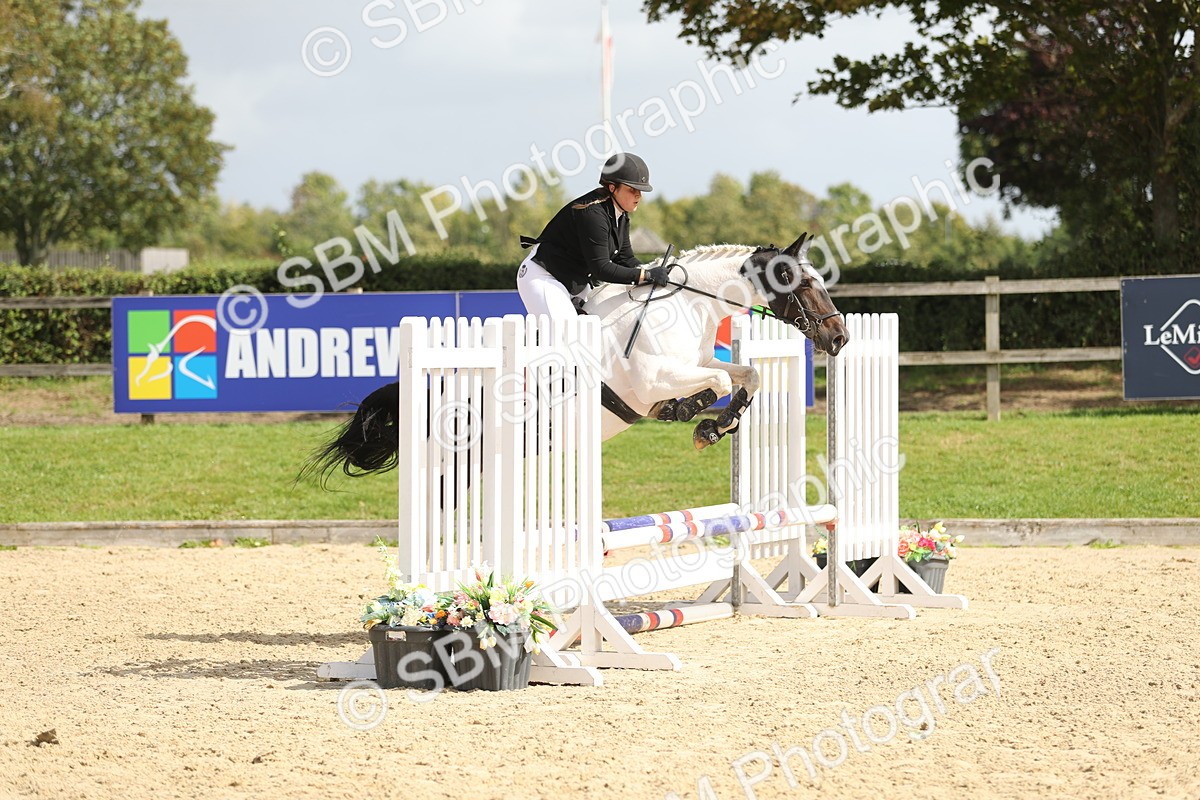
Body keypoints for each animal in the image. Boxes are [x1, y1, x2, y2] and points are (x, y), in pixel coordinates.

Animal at [298, 232, 847, 483]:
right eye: (801, 282)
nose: (839, 336)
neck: (685, 307)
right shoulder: (653, 379)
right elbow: (715, 383)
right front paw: (693, 416)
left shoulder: (702, 364)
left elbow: (746, 374)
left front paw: (716, 426)